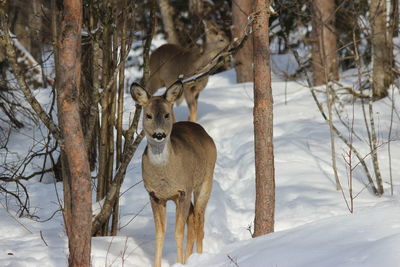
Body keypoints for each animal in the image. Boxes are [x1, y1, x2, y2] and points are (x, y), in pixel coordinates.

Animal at [130, 81, 219, 267]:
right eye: (148, 115)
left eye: (166, 115)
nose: (159, 134)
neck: (164, 175)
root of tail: (202, 130)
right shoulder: (154, 195)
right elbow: (160, 233)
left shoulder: (183, 190)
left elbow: (178, 232)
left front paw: (180, 263)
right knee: (192, 219)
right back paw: (190, 257)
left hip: (205, 180)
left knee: (199, 220)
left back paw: (199, 257)